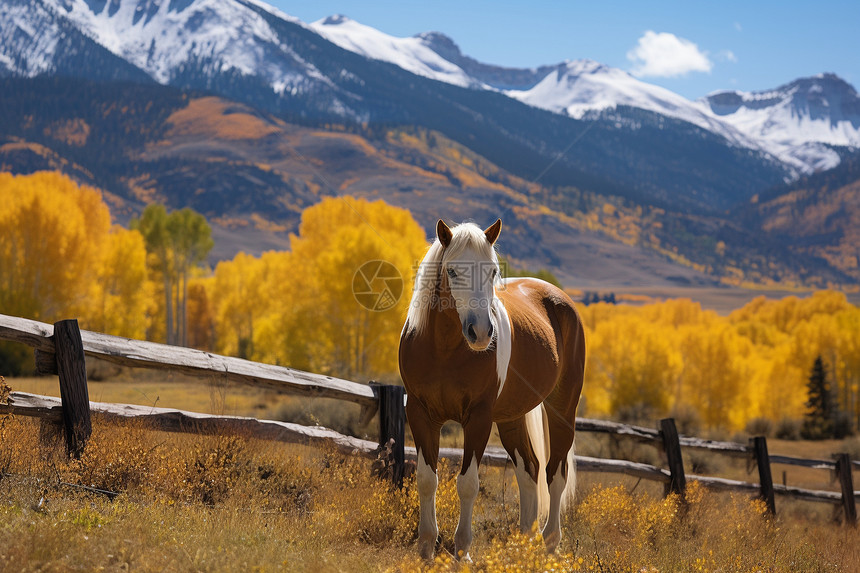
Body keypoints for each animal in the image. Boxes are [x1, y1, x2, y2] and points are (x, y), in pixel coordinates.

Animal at [400, 216, 588, 560]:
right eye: (452, 271)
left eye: (491, 271)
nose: (481, 333)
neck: (443, 349)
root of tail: (559, 298)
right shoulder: (420, 412)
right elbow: (426, 479)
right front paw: (426, 548)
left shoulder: (479, 417)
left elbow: (467, 484)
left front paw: (462, 551)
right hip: (512, 417)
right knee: (530, 470)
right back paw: (525, 545)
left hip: (562, 408)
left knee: (555, 473)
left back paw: (549, 543)